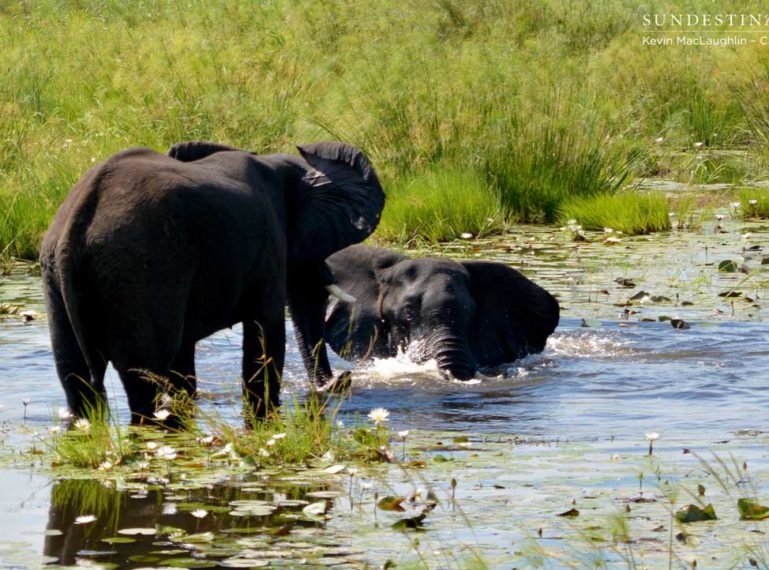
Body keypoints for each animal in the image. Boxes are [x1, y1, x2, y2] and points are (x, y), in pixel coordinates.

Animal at [42, 139, 384, 422]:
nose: (342, 380)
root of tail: (76, 224)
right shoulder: (267, 245)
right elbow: (266, 332)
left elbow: (183, 354)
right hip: (141, 273)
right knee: (144, 377)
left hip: (58, 277)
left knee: (74, 374)